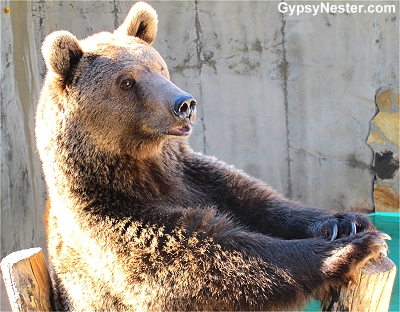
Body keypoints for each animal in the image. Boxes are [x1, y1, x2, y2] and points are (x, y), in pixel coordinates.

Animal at [36, 1, 390, 310]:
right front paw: (357, 246)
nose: (184, 104)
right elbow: (204, 260)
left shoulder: (194, 176)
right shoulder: (107, 217)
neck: (143, 167)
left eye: (158, 67)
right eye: (126, 82)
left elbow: (258, 202)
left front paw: (346, 222)